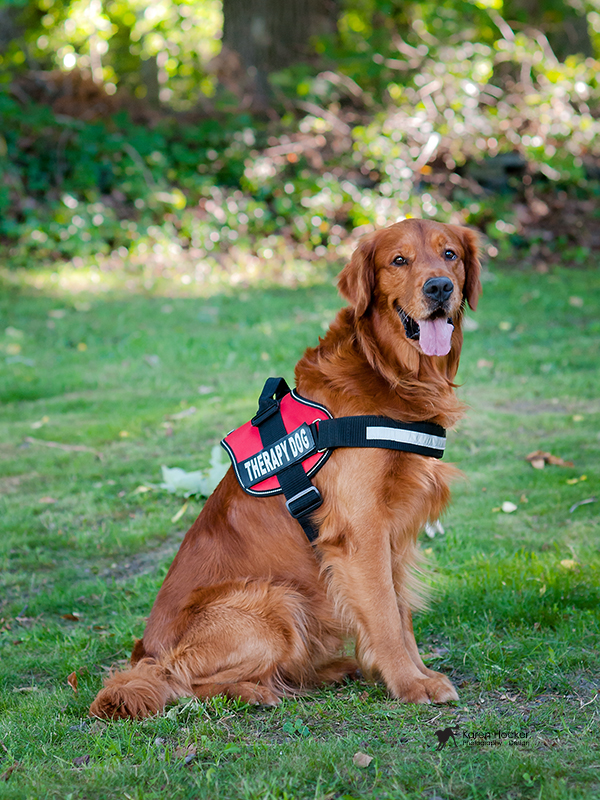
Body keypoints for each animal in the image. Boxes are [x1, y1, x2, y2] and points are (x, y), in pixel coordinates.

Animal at [90, 219, 482, 720]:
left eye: (450, 255)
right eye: (399, 260)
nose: (439, 287)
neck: (391, 374)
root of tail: (145, 651)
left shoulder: (392, 530)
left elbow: (399, 611)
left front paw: (414, 673)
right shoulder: (361, 531)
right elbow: (385, 616)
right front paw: (410, 683)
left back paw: (330, 670)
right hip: (274, 598)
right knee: (175, 680)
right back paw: (254, 690)